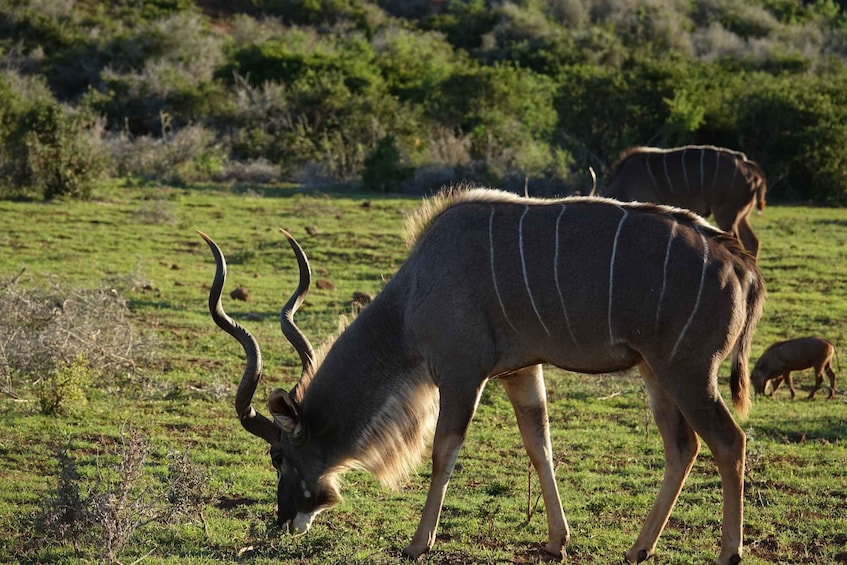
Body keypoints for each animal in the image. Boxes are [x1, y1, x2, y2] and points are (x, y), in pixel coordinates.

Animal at [200, 186, 768, 564]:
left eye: (277, 456)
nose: (283, 522)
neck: (414, 293)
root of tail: (743, 267)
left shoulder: (462, 374)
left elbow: (443, 452)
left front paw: (418, 542)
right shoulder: (521, 370)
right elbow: (540, 446)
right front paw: (557, 542)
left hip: (687, 372)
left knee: (729, 442)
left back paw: (728, 553)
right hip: (656, 373)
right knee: (683, 447)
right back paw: (637, 550)